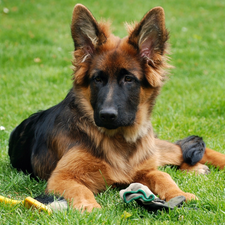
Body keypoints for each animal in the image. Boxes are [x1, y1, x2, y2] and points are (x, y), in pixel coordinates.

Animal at [7, 3, 224, 211]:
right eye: (97, 79)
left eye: (129, 79)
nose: (107, 115)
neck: (118, 140)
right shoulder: (61, 177)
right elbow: (79, 189)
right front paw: (89, 207)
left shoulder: (145, 168)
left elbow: (163, 177)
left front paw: (180, 194)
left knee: (184, 150)